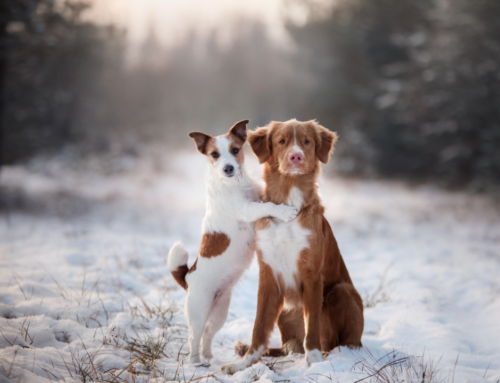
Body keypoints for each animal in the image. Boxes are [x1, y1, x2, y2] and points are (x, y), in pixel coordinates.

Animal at [167, 120, 296, 364]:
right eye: (214, 154)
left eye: (235, 150)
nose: (228, 168)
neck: (233, 184)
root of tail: (187, 278)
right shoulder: (248, 209)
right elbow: (267, 206)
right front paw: (284, 211)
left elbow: (264, 198)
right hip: (198, 312)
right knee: (194, 338)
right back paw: (195, 363)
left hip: (220, 311)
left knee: (208, 334)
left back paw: (209, 358)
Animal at [223, 118, 364, 374]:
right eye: (282, 141)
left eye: (306, 141)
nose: (296, 156)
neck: (288, 204)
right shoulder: (268, 275)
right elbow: (259, 327)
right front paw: (244, 364)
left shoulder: (311, 274)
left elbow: (313, 326)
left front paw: (315, 361)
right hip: (285, 311)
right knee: (287, 347)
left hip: (342, 291)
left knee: (338, 341)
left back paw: (334, 354)